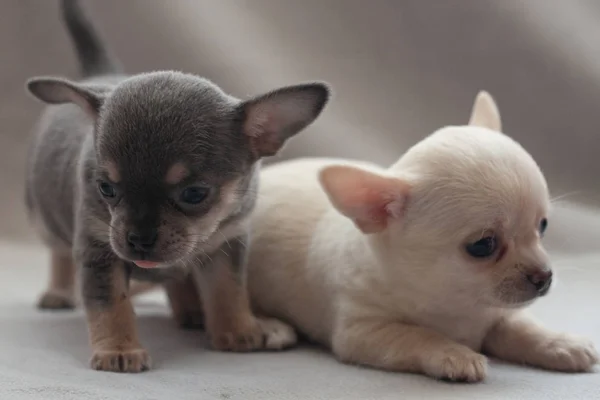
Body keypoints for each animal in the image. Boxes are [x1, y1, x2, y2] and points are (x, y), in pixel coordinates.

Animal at [24, 0, 328, 374]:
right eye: (106, 188)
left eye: (194, 194)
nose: (138, 239)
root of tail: (99, 78)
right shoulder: (99, 252)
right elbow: (111, 306)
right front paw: (118, 350)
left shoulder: (226, 245)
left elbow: (228, 291)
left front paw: (239, 331)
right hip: (44, 217)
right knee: (59, 253)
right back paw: (59, 292)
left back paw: (191, 310)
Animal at [245, 90, 600, 382]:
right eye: (482, 246)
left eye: (543, 227)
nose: (544, 276)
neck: (456, 304)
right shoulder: (363, 332)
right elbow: (418, 336)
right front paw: (454, 353)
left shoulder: (499, 317)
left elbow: (525, 329)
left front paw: (561, 343)